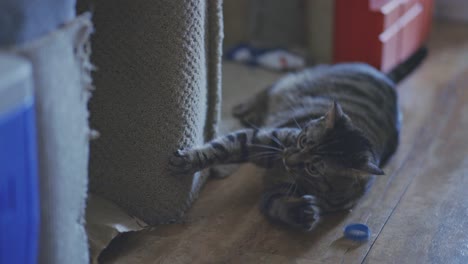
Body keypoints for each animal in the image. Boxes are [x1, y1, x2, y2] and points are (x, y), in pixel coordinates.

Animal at [170, 47, 426, 231]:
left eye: (314, 168)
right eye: (303, 141)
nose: (287, 159)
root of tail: (383, 74)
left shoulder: (277, 190)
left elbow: (274, 204)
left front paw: (303, 213)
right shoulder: (259, 139)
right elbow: (220, 149)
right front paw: (189, 160)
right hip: (292, 81)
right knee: (267, 89)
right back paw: (245, 108)